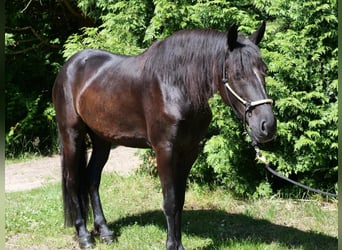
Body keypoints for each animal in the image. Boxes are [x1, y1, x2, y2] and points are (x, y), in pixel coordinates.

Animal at [52, 22, 276, 249]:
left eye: (264, 71)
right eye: (237, 74)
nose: (267, 125)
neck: (175, 86)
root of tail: (69, 66)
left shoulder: (188, 152)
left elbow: (180, 200)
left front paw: (179, 244)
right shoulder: (164, 150)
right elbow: (170, 202)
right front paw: (171, 245)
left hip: (102, 140)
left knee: (92, 178)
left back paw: (105, 231)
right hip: (72, 135)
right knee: (72, 181)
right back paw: (84, 236)